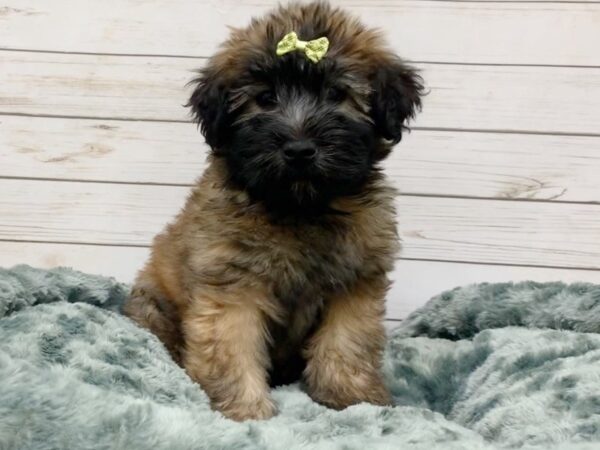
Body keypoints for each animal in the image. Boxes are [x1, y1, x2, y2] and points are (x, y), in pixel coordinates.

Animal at [123, 0, 422, 422]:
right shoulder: (233, 283)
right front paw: (244, 410)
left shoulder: (356, 282)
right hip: (153, 306)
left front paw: (352, 397)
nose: (299, 150)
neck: (299, 206)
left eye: (336, 94)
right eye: (265, 99)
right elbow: (230, 347)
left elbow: (347, 342)